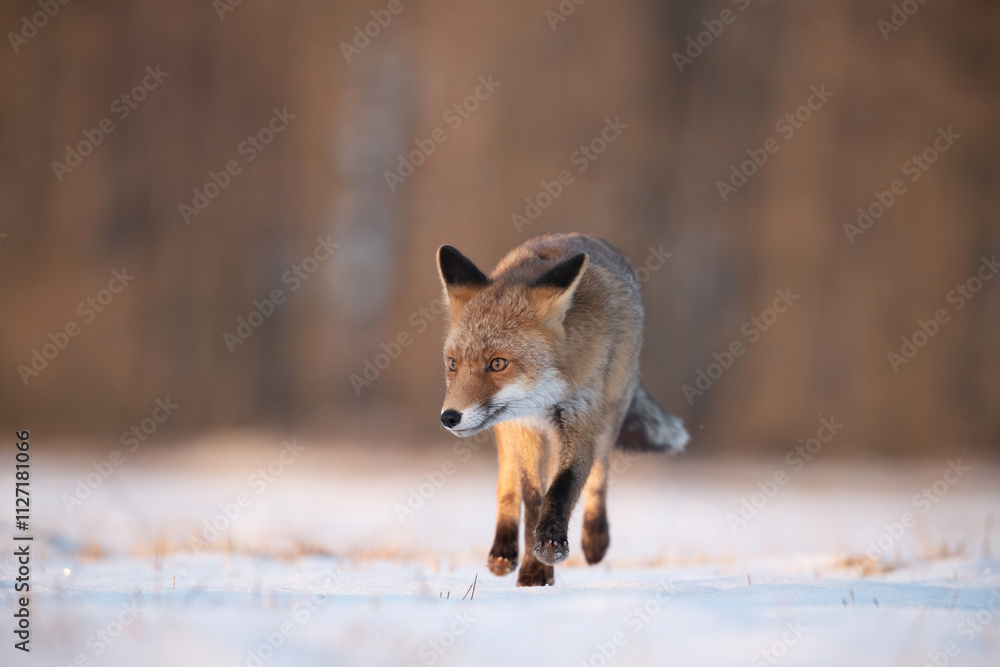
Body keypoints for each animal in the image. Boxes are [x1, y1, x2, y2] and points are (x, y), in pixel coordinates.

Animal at [436, 233, 689, 586]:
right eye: (452, 364)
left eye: (498, 363)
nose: (449, 417)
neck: (545, 398)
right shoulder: (523, 426)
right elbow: (532, 498)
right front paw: (535, 571)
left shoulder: (581, 419)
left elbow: (562, 488)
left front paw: (551, 546)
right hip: (507, 431)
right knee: (506, 484)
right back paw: (503, 551)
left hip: (609, 419)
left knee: (600, 474)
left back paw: (595, 538)